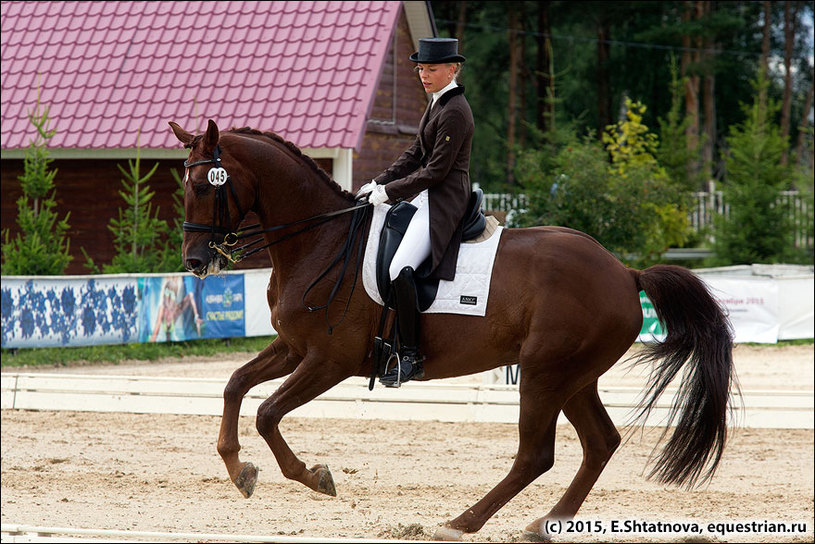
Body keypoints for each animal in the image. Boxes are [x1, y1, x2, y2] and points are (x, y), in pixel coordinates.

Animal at [169, 119, 736, 540]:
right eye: (183, 185)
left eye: (204, 187)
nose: (195, 263)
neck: (320, 240)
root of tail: (625, 271)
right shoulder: (293, 347)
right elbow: (235, 385)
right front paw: (239, 469)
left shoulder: (329, 360)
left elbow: (267, 412)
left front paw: (313, 476)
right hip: (574, 377)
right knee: (600, 443)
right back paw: (542, 525)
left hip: (544, 372)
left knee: (536, 455)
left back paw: (461, 522)